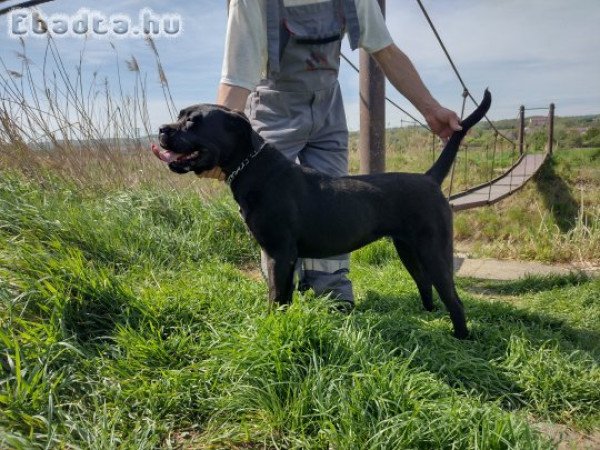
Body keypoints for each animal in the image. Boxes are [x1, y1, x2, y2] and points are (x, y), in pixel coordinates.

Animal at [154, 90, 492, 338]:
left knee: (454, 298)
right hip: (408, 249)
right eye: (181, 116)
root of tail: (429, 178)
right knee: (425, 284)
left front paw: (270, 328)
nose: (160, 129)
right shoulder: (286, 256)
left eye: (194, 122)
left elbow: (274, 296)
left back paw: (461, 338)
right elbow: (284, 296)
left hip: (434, 249)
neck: (251, 167)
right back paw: (428, 316)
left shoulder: (279, 252)